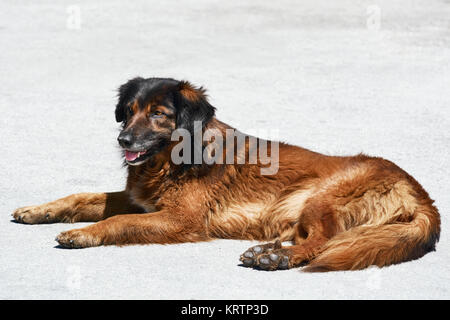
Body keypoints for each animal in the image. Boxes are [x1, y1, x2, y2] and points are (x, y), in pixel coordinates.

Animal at [13, 77, 440, 270]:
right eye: (129, 110)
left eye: (158, 113)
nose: (123, 139)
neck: (172, 159)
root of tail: (420, 191)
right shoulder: (140, 200)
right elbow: (81, 197)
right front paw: (38, 210)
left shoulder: (180, 219)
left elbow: (117, 221)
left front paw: (84, 234)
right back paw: (267, 251)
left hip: (321, 198)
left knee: (323, 241)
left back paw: (278, 258)